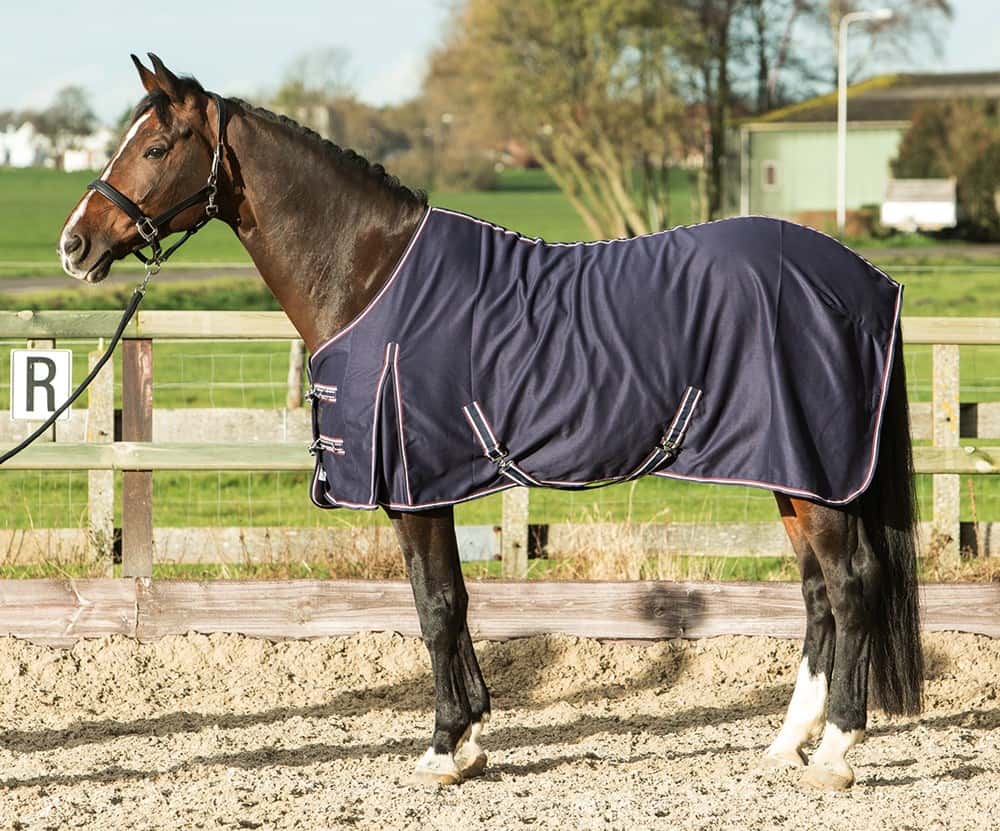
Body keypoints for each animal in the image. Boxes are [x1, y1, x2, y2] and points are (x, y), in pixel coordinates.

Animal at [58, 55, 923, 791]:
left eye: (157, 145)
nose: (75, 242)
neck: (371, 273)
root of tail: (866, 281)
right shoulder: (427, 483)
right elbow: (455, 600)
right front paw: (471, 735)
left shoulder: (412, 485)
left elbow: (436, 606)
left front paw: (444, 747)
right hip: (793, 472)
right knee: (816, 594)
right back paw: (786, 742)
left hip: (816, 477)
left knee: (850, 586)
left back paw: (836, 750)